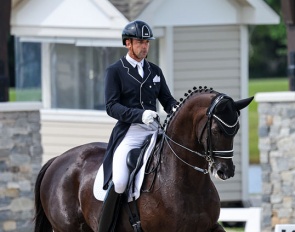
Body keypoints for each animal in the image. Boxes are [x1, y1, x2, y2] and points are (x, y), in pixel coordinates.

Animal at [33, 87, 253, 232]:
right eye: (215, 130)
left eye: (236, 129)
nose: (225, 171)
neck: (187, 183)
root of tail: (57, 160)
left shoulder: (209, 228)